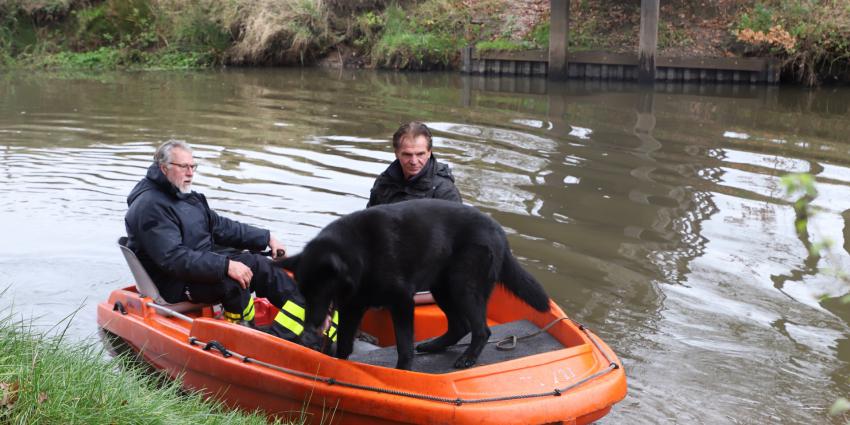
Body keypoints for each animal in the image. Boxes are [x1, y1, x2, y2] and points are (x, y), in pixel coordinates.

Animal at [274, 199, 548, 368]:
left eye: (320, 292)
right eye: (303, 293)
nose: (307, 332)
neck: (362, 254)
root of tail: (500, 233)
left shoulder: (402, 302)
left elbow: (404, 345)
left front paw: (402, 370)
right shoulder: (353, 308)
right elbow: (343, 345)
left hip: (462, 286)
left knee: (481, 329)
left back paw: (468, 357)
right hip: (442, 288)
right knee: (460, 325)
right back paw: (435, 345)